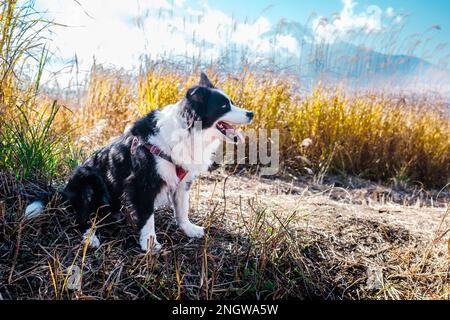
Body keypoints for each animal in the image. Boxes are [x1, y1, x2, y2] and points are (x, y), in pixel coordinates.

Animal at [25, 73, 253, 252]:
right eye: (224, 106)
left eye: (231, 102)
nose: (251, 113)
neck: (187, 132)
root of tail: (65, 191)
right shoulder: (142, 184)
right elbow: (147, 218)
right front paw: (150, 244)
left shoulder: (182, 181)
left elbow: (182, 209)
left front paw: (189, 229)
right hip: (88, 181)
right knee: (80, 216)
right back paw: (90, 237)